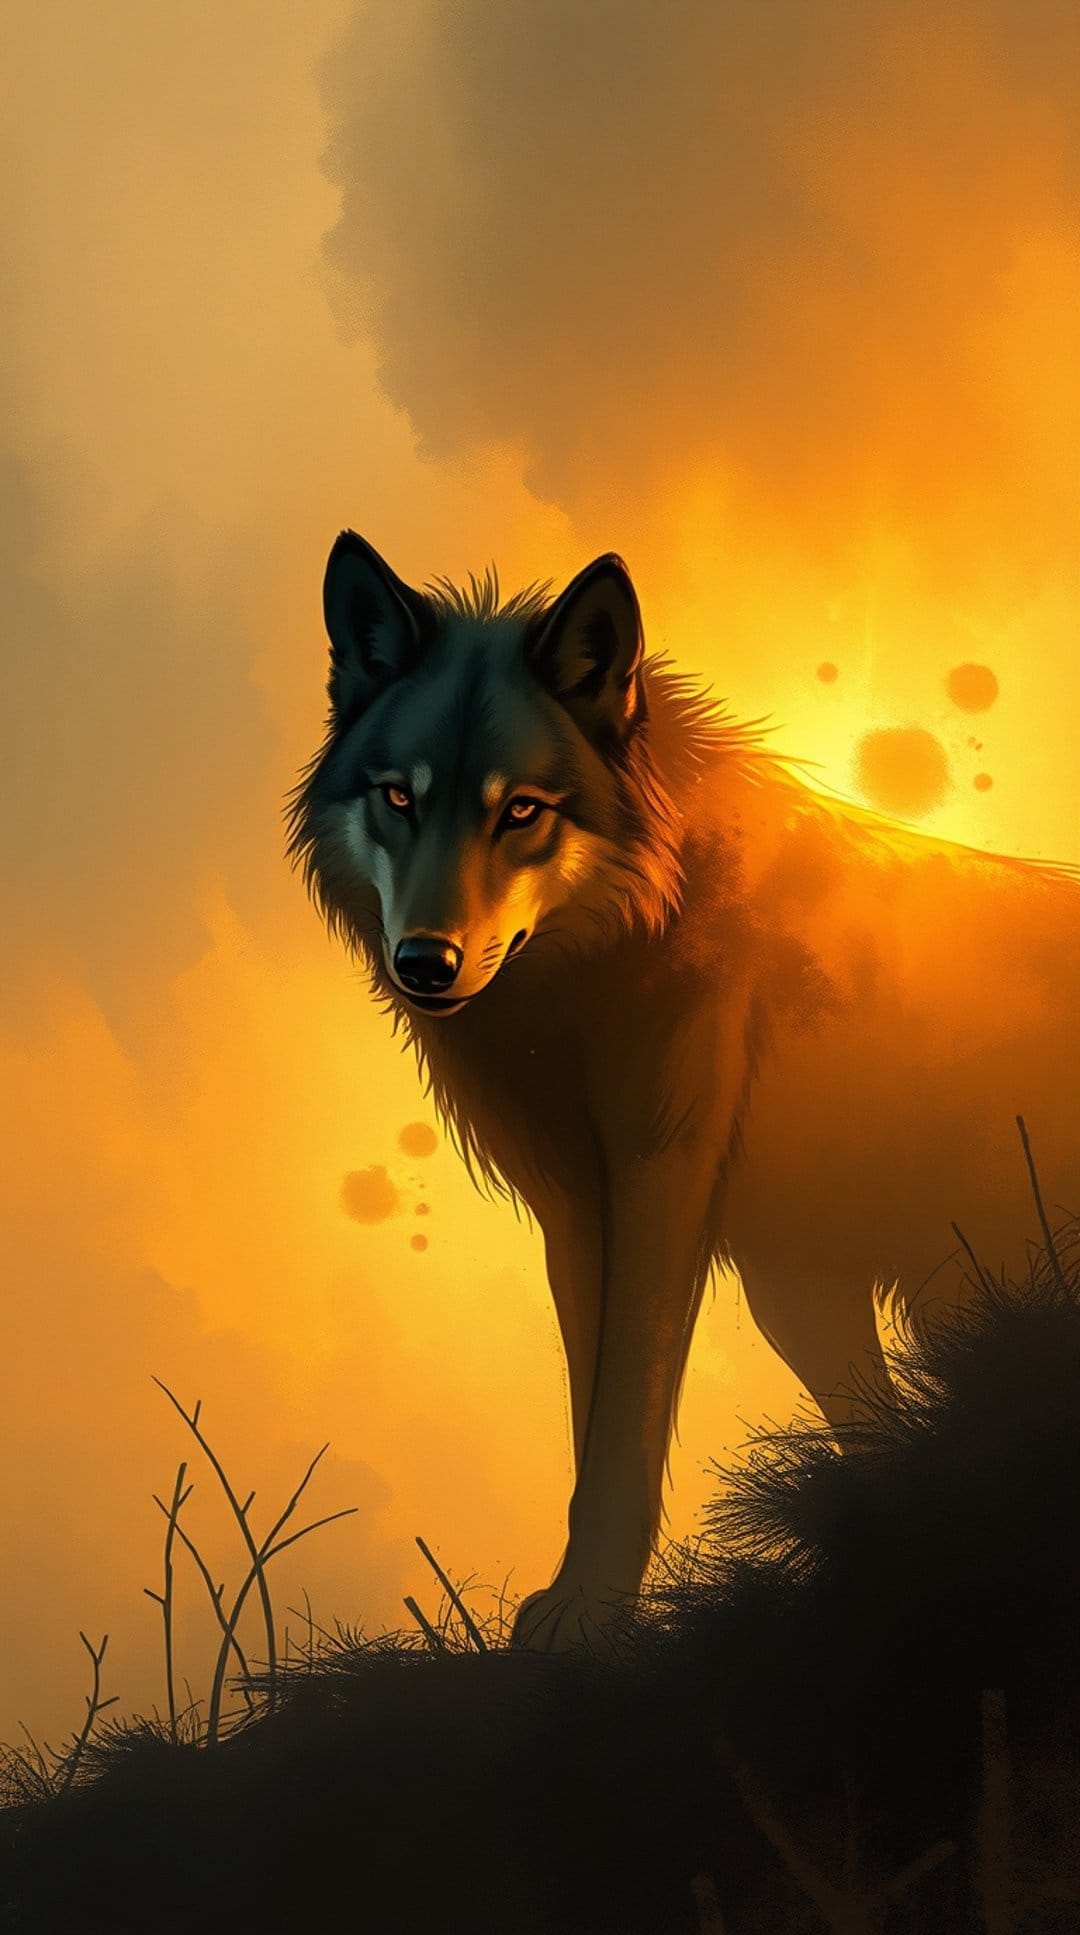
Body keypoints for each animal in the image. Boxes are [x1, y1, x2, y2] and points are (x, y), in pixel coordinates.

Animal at [290, 531, 1080, 1651]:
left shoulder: (665, 1181)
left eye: (520, 810)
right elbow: (595, 1418)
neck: (598, 976)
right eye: (399, 797)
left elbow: (628, 1418)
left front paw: (590, 1617)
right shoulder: (583, 1209)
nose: (425, 963)